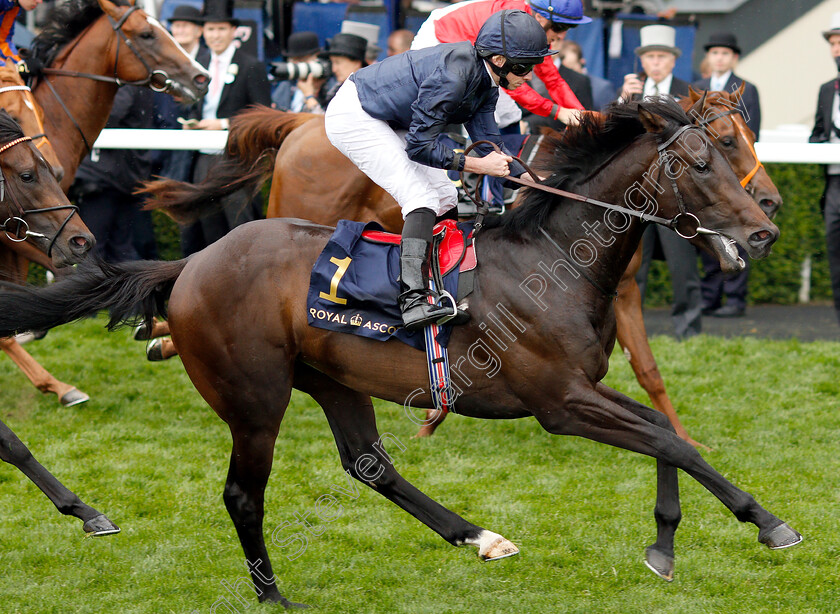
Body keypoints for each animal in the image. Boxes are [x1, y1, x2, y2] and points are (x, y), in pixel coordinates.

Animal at [139, 86, 780, 450]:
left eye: (744, 138)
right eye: (716, 150)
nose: (768, 220)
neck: (551, 244)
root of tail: (301, 123)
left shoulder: (621, 295)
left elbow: (649, 373)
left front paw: (687, 437)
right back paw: (161, 332)